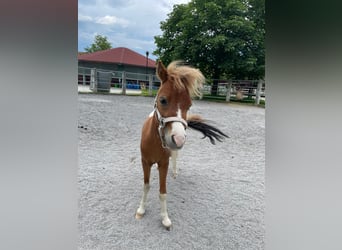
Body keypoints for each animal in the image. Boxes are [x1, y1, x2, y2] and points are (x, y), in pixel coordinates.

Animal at [135, 60, 228, 229]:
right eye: (163, 100)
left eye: (189, 105)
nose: (178, 139)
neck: (154, 141)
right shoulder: (145, 162)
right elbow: (146, 186)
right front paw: (141, 210)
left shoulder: (164, 163)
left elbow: (162, 191)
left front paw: (165, 218)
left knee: (175, 157)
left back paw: (175, 172)